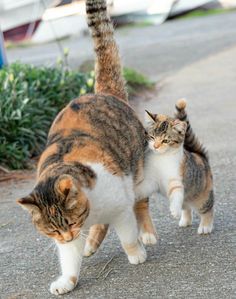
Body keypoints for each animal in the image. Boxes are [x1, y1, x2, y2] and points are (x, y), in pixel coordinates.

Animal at [17, 0, 156, 296]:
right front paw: (67, 280)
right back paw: (91, 243)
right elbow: (69, 259)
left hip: (137, 172)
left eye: (69, 223)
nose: (69, 235)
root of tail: (102, 93)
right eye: (53, 231)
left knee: (141, 202)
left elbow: (127, 233)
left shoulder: (120, 205)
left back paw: (146, 234)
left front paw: (135, 253)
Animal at [135, 99, 214, 236]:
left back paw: (205, 226)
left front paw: (174, 210)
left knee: (208, 208)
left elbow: (176, 192)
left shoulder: (176, 177)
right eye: (152, 137)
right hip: (188, 197)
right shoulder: (153, 180)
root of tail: (200, 156)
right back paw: (185, 220)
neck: (161, 159)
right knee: (186, 206)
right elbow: (145, 185)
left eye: (165, 141)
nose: (155, 146)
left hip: (202, 196)